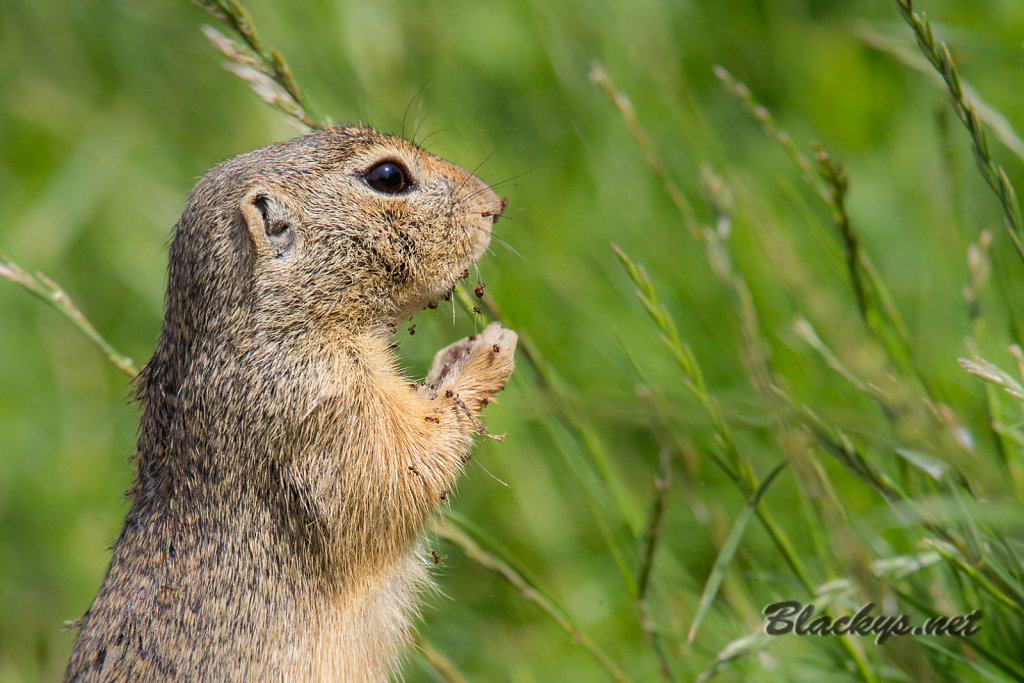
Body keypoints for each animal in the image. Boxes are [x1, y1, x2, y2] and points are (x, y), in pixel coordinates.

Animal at [61, 125, 520, 679]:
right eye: (388, 176)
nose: (493, 204)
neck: (273, 327)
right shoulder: (325, 407)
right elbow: (408, 467)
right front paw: (487, 352)